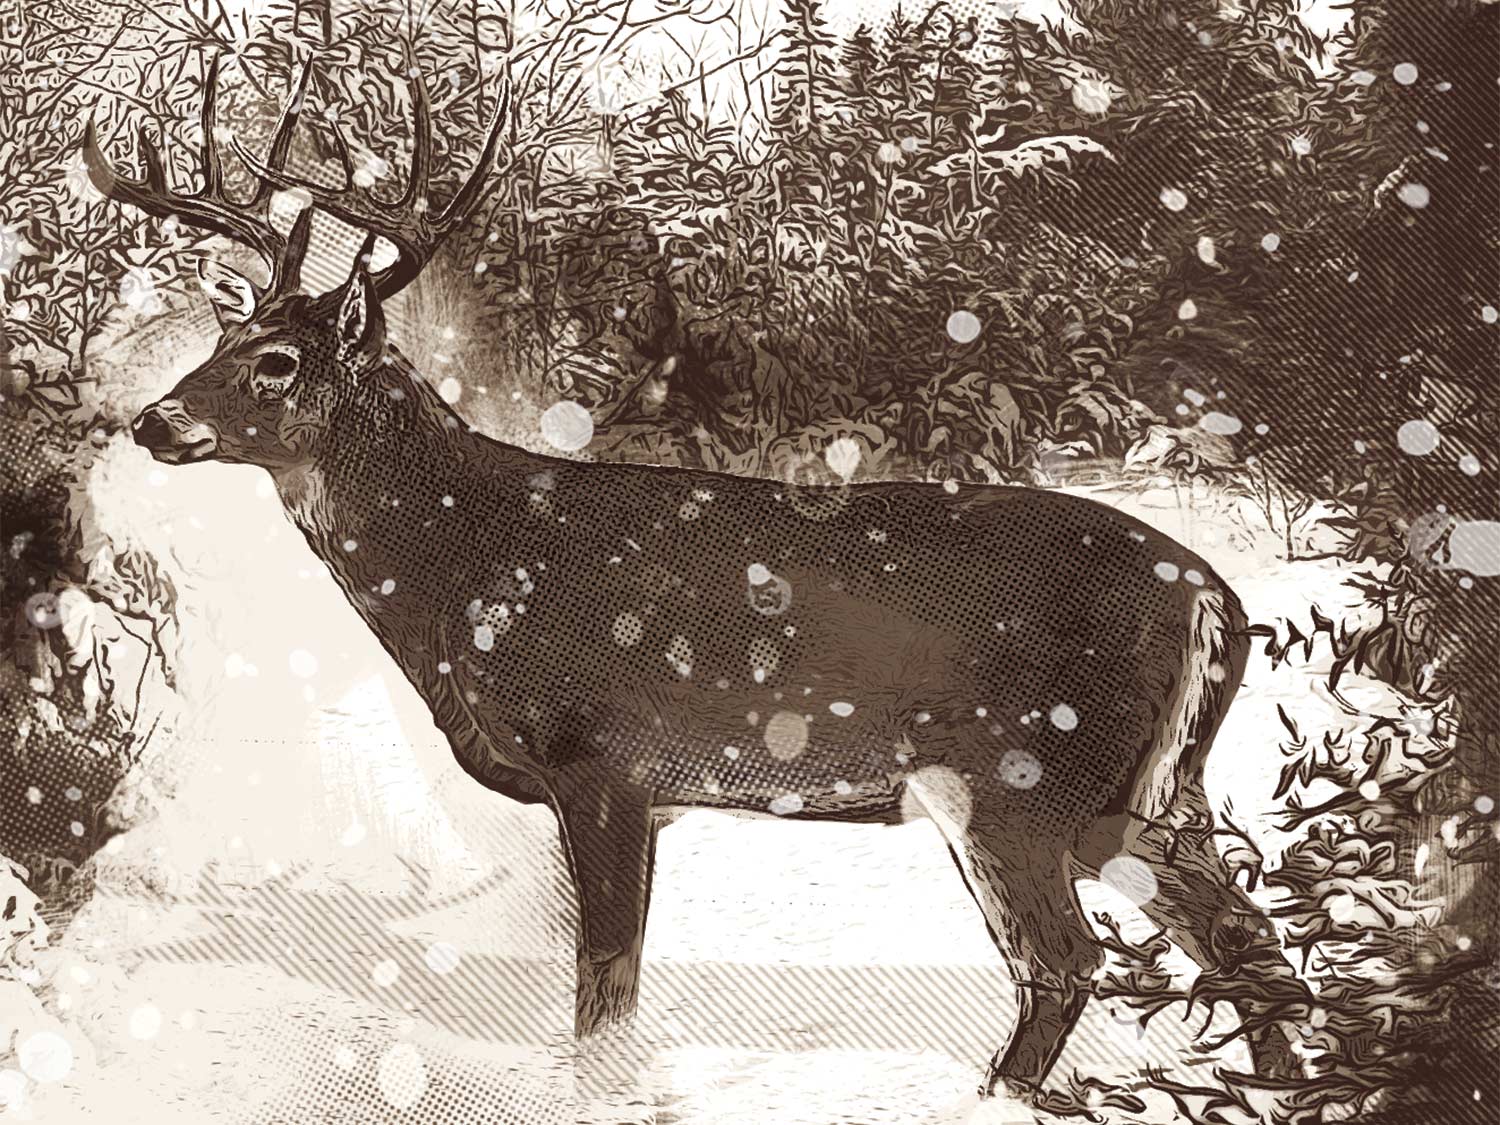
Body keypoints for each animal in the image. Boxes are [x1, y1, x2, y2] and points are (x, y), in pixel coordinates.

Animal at [84, 51, 1305, 1114]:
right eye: (226, 338)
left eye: (278, 361)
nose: (156, 420)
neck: (465, 560)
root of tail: (1217, 599)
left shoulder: (603, 759)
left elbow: (605, 992)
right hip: (1147, 796)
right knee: (1252, 943)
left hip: (1020, 783)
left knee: (1068, 961)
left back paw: (991, 1097)